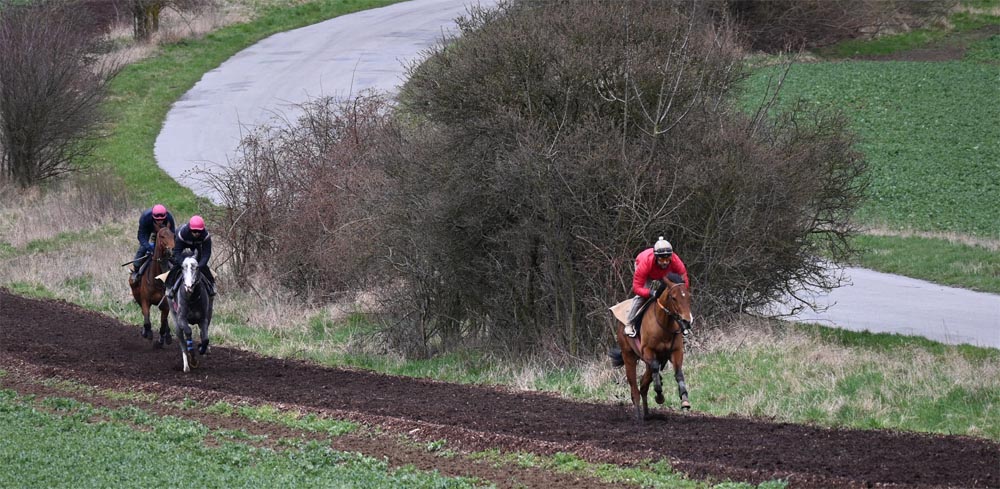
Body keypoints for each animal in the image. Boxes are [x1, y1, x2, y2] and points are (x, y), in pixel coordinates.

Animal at [608, 276, 696, 422]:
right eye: (673, 298)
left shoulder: (676, 352)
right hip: (628, 355)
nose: (687, 321)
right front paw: (659, 396)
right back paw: (639, 415)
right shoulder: (648, 351)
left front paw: (684, 400)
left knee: (643, 385)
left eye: (689, 296)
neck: (664, 324)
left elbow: (678, 373)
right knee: (634, 386)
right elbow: (655, 369)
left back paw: (647, 413)